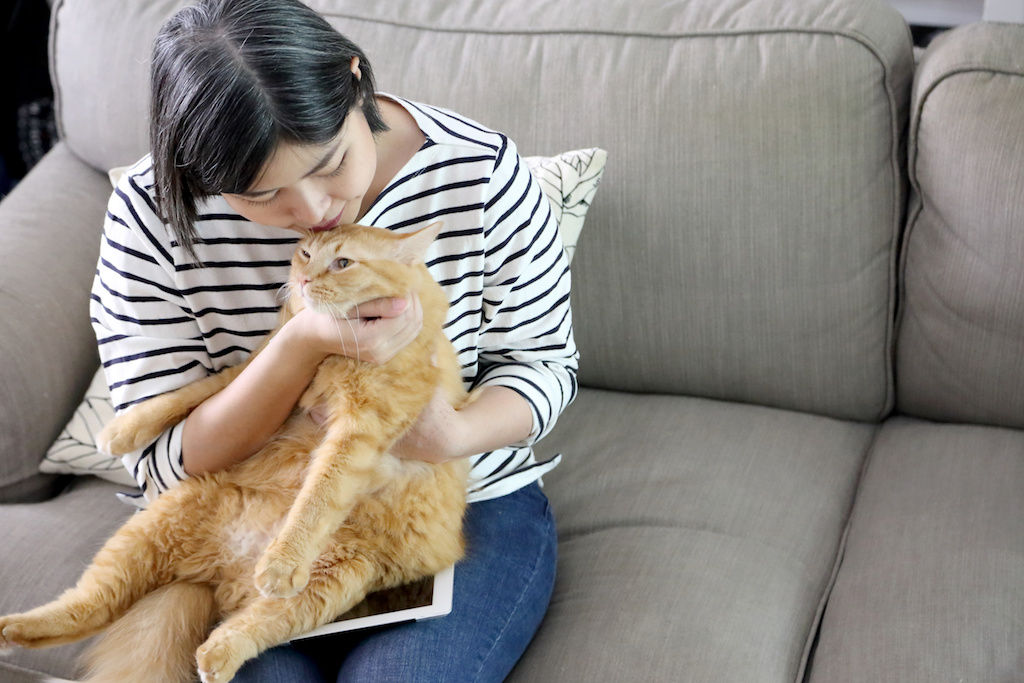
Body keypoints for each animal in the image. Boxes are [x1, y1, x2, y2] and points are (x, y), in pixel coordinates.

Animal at [0, 224, 468, 683]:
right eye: (305, 254)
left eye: (342, 263)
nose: (305, 280)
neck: (329, 351)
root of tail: (221, 573)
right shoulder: (261, 363)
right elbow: (191, 393)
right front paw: (122, 430)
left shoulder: (359, 432)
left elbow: (318, 496)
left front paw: (282, 559)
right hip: (156, 526)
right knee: (92, 606)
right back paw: (15, 628)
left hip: (334, 578)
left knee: (253, 623)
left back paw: (221, 649)